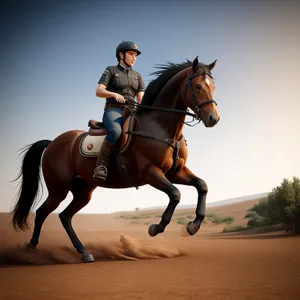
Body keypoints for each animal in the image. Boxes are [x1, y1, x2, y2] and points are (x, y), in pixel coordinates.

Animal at [11, 56, 220, 262]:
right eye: (198, 86)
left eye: (213, 86)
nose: (214, 118)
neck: (160, 128)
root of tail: (52, 143)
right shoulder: (150, 173)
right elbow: (176, 194)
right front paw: (156, 228)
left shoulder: (175, 172)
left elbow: (202, 186)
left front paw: (192, 226)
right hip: (58, 189)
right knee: (42, 213)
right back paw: (31, 249)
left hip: (83, 191)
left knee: (64, 216)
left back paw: (84, 252)